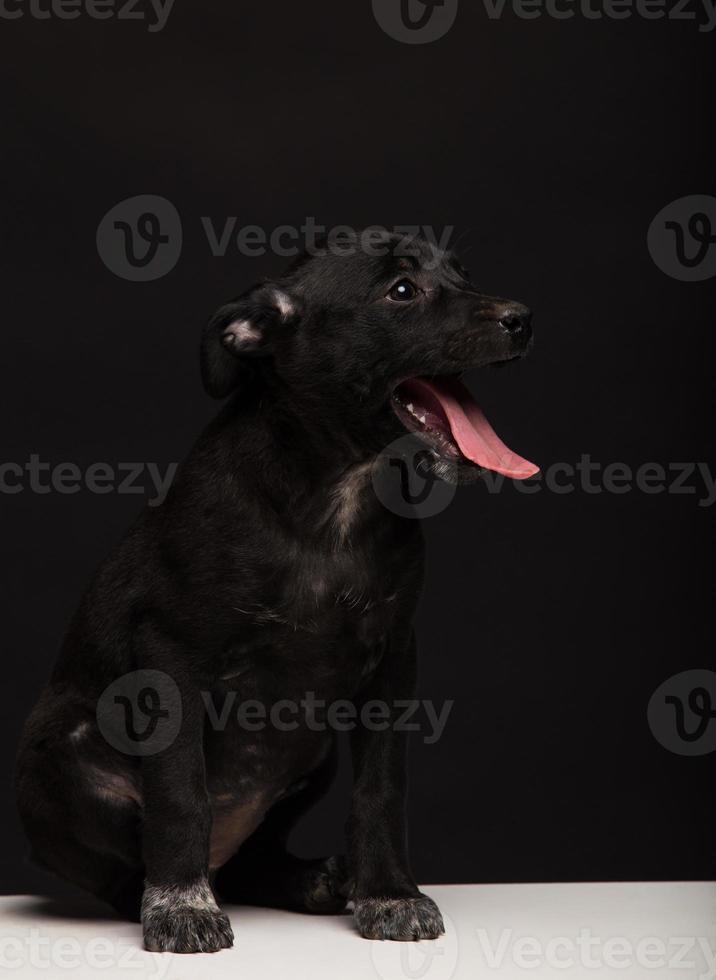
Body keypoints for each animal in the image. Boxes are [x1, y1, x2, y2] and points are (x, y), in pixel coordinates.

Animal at [15, 234, 536, 952]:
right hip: (57, 760)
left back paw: (316, 881)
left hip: (311, 749)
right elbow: (180, 794)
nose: (522, 319)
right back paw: (174, 892)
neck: (334, 495)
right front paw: (181, 907)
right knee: (133, 869)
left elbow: (382, 790)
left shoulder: (394, 656)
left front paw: (389, 893)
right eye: (402, 290)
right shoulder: (170, 652)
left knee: (252, 862)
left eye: (463, 273)